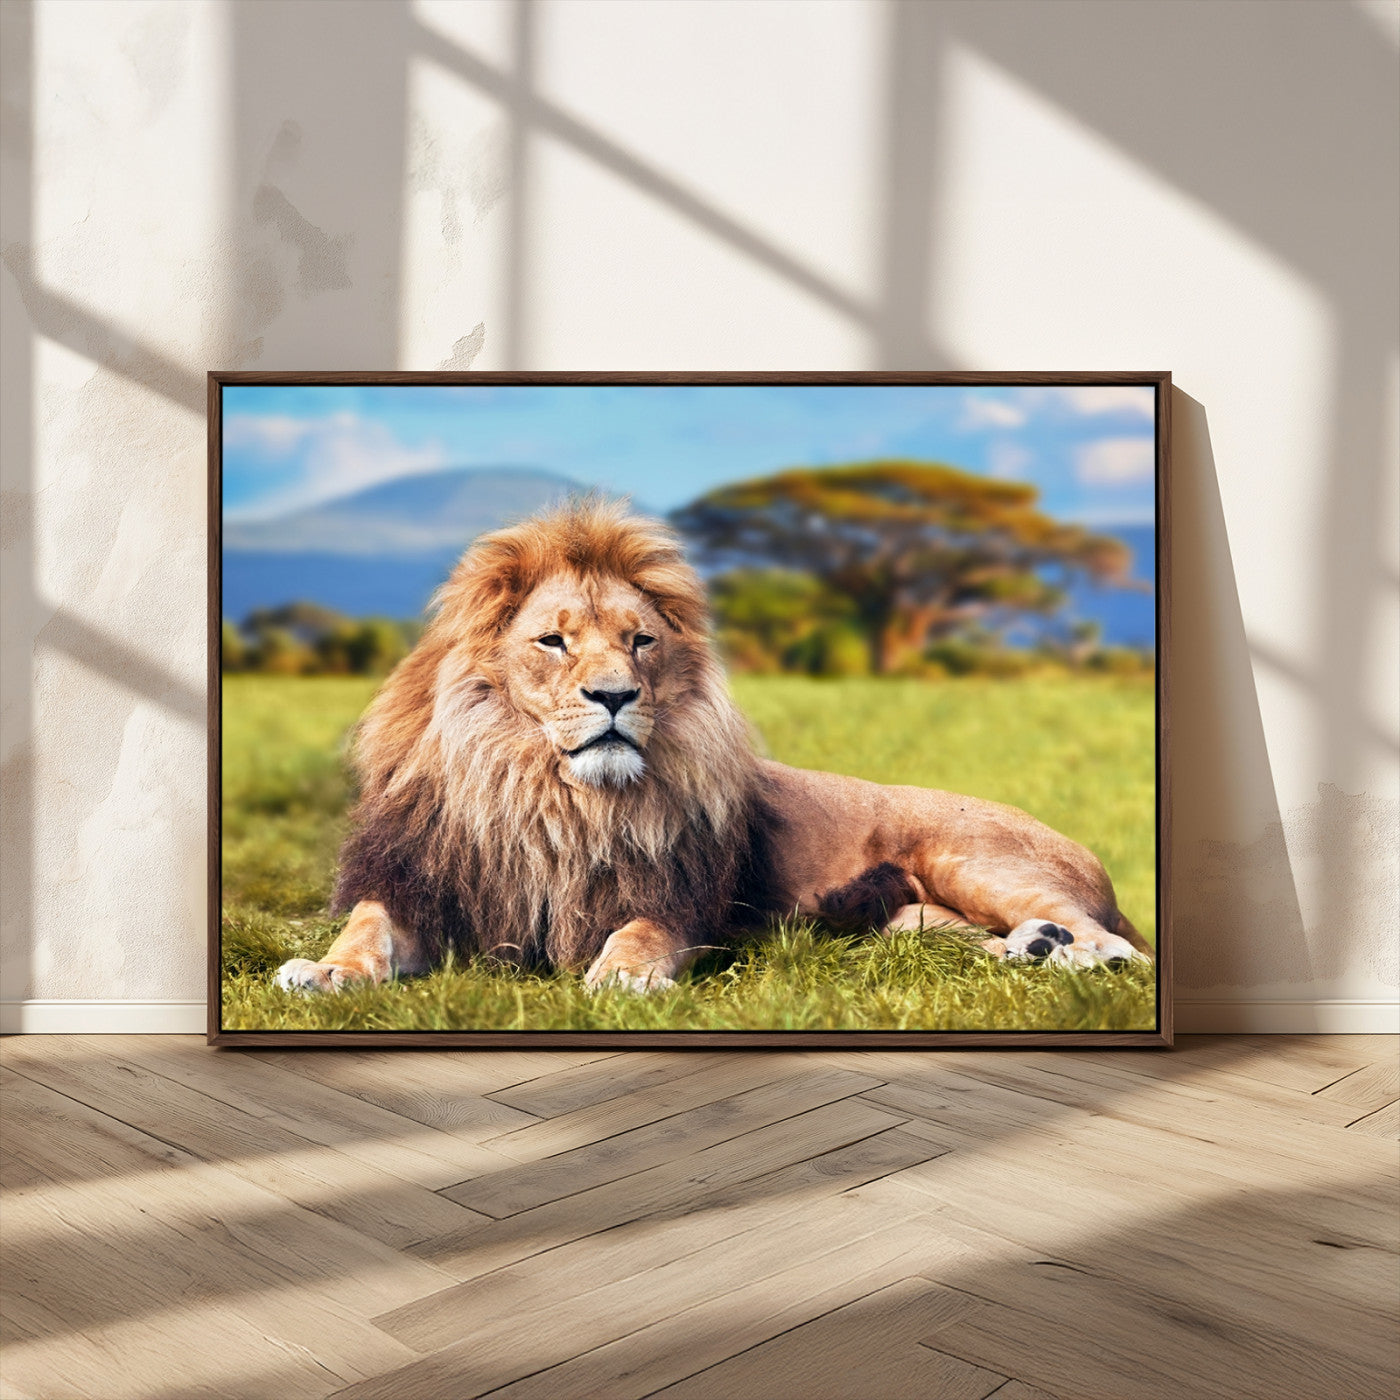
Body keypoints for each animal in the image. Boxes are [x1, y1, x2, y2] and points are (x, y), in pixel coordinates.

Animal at [275, 501, 1151, 996]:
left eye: (640, 642)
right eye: (554, 642)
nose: (615, 696)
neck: (548, 796)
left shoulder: (676, 898)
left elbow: (639, 934)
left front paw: (622, 977)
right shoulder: (421, 885)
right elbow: (366, 931)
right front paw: (325, 972)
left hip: (972, 859)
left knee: (1119, 947)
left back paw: (1074, 957)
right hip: (911, 921)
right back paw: (1032, 951)